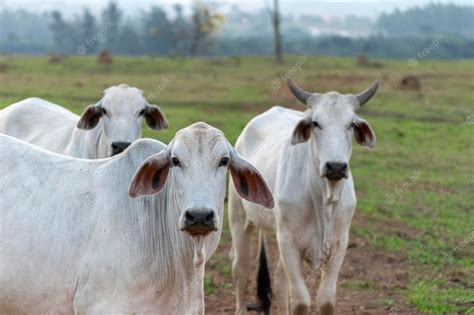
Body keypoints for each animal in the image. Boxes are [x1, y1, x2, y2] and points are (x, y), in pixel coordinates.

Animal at [228, 79, 380, 315]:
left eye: (352, 124)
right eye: (316, 123)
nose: (336, 166)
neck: (323, 198)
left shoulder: (339, 244)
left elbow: (325, 299)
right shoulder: (288, 241)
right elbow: (301, 300)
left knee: (279, 280)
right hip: (239, 219)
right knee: (240, 269)